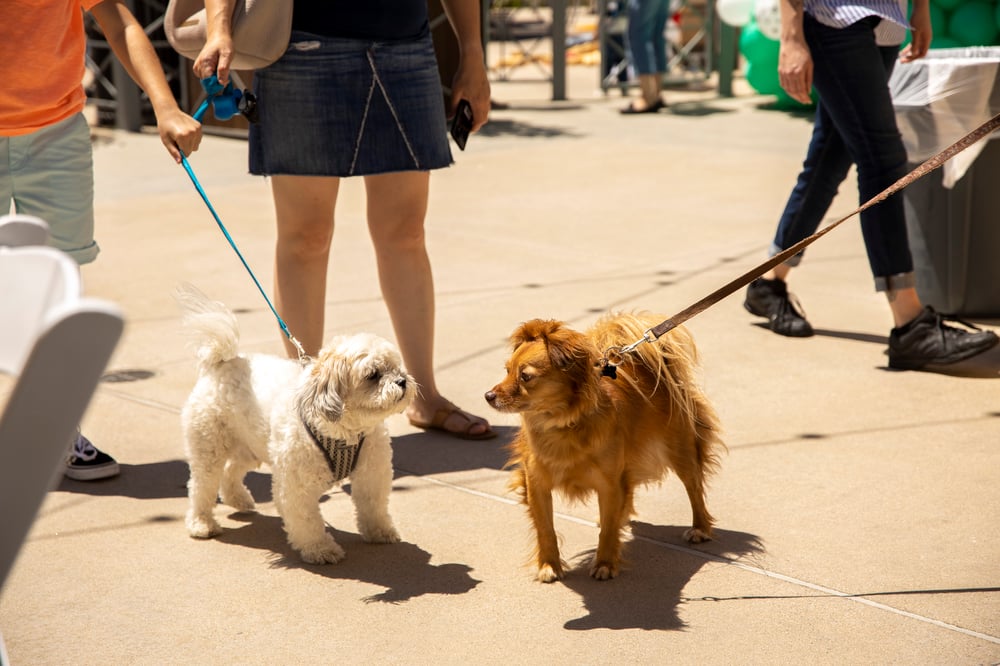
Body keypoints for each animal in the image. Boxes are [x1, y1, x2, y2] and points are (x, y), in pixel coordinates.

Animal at [178, 282, 416, 564]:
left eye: (396, 367)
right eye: (373, 375)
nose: (402, 381)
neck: (345, 431)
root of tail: (223, 364)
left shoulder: (371, 475)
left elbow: (373, 507)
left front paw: (380, 531)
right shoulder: (297, 486)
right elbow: (307, 520)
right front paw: (319, 548)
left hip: (252, 446)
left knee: (231, 471)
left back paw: (238, 500)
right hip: (209, 446)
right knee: (201, 486)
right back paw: (201, 524)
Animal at [488, 314, 724, 580]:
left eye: (525, 376)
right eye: (507, 371)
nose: (488, 396)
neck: (562, 424)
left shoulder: (609, 485)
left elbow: (609, 528)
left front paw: (605, 563)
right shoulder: (537, 485)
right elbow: (546, 528)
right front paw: (549, 565)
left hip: (681, 453)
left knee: (694, 489)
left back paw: (700, 528)